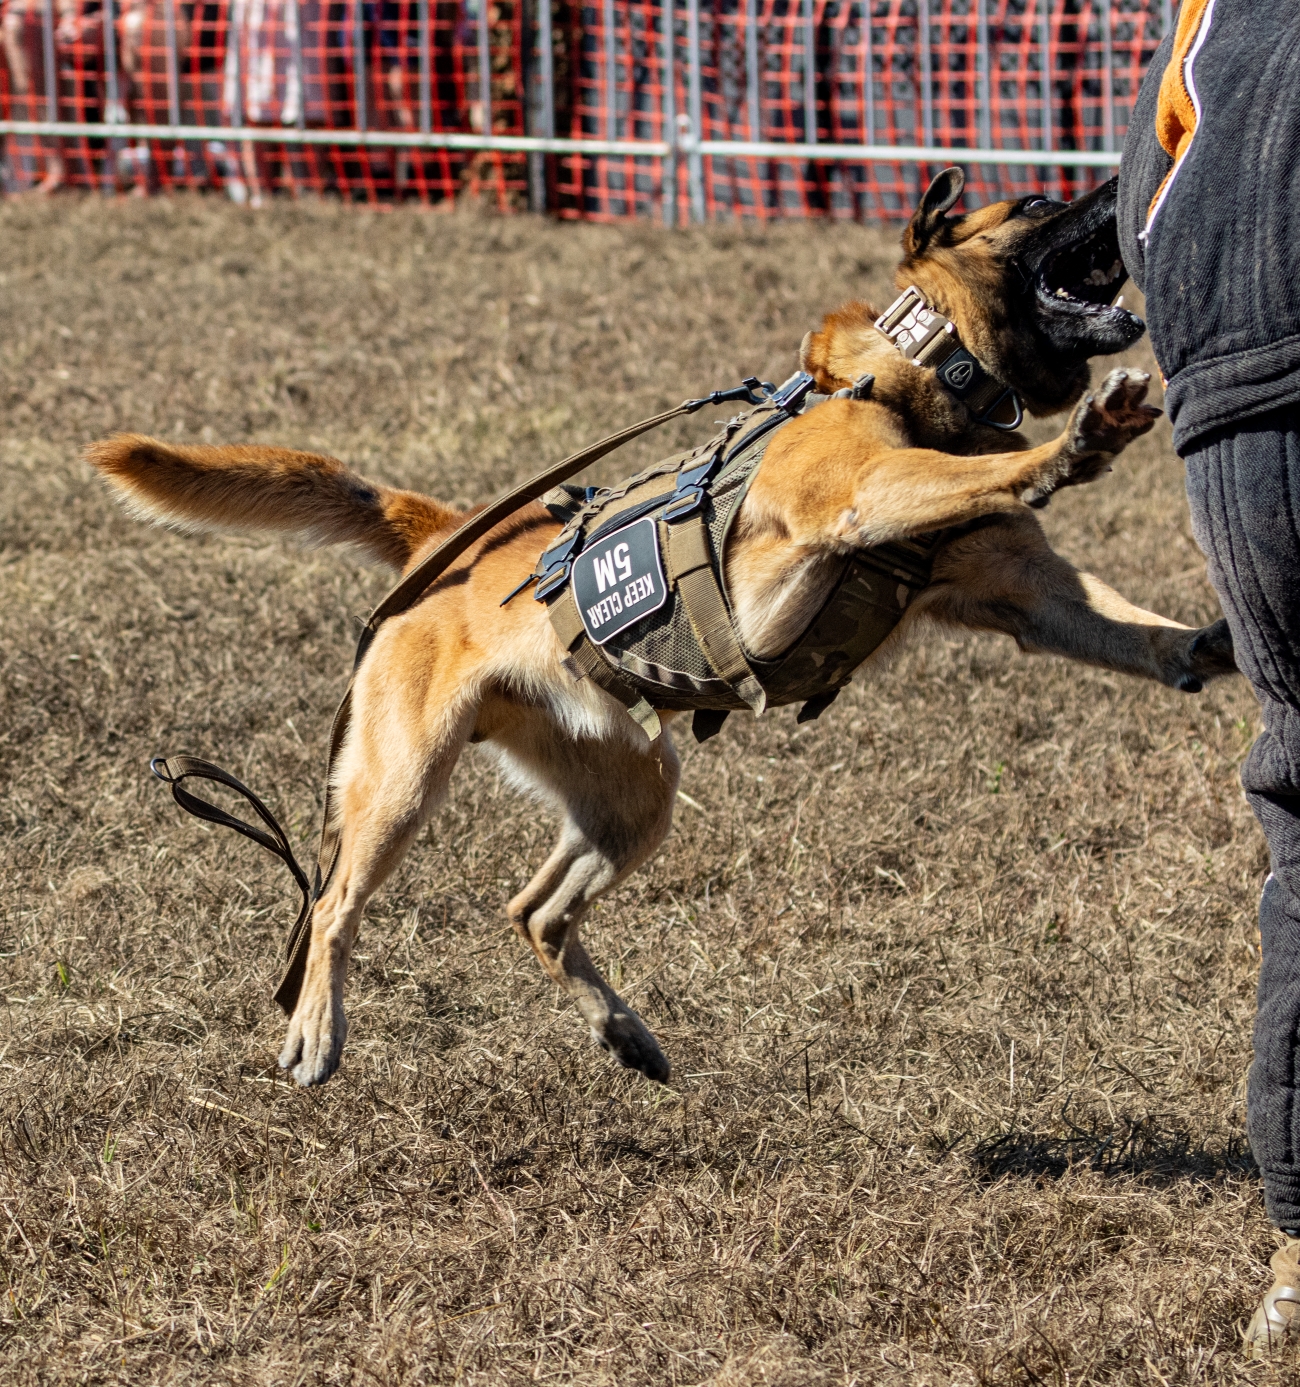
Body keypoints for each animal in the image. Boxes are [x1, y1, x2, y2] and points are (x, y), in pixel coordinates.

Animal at [86, 167, 1232, 1087]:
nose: (1122, 174)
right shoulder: (862, 493)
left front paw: (1205, 644)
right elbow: (1000, 470)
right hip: (400, 779)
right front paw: (1076, 444)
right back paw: (318, 1031)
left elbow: (1128, 627)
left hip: (634, 790)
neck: (913, 375)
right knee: (332, 905)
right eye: (1037, 204)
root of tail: (442, 534)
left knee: (534, 909)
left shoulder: (1025, 595)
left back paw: (624, 1032)